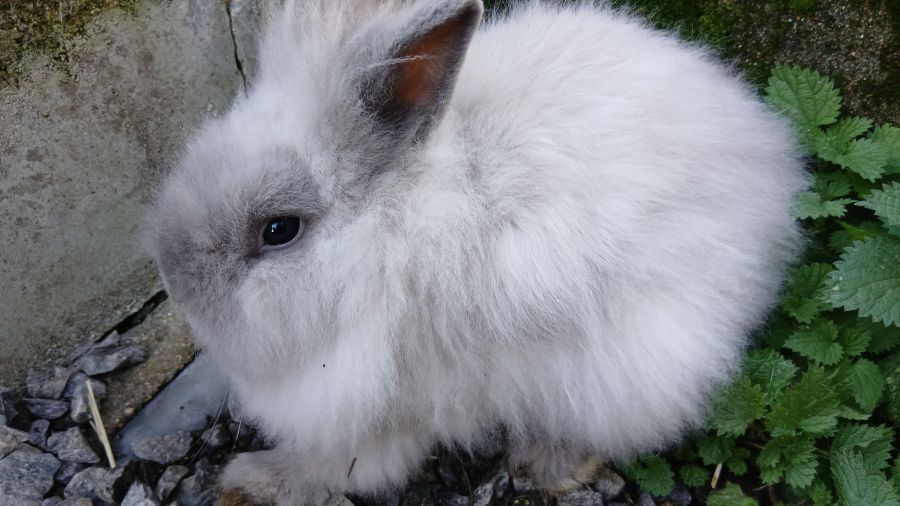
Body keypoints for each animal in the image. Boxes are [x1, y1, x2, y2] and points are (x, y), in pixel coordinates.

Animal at [147, 0, 808, 503]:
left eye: (279, 230)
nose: (175, 284)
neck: (385, 238)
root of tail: (772, 165)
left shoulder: (376, 398)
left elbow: (352, 463)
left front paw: (251, 477)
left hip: (636, 359)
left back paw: (547, 465)